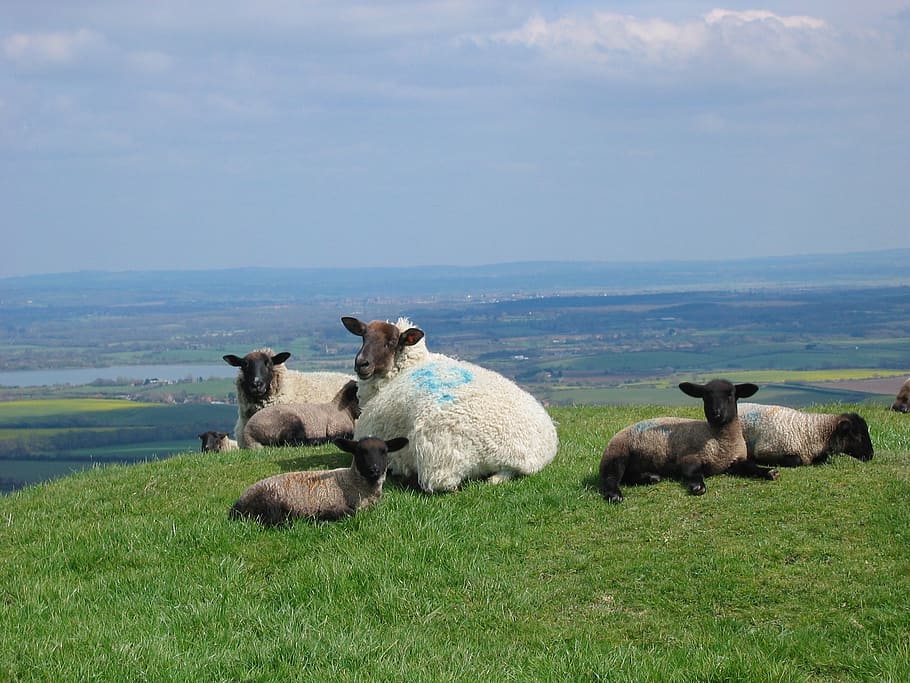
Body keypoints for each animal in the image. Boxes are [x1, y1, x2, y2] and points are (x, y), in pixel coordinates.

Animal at [228, 436, 410, 528]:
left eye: (384, 451)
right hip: (270, 505)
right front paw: (321, 519)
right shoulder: (333, 505)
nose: (374, 469)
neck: (352, 483)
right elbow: (349, 513)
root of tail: (236, 507)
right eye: (360, 452)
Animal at [340, 318, 560, 494]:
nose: (361, 363)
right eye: (363, 336)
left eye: (391, 342)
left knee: (443, 485)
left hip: (439, 460)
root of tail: (519, 459)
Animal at [604, 380, 780, 502]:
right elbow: (692, 472)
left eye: (731, 394)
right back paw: (615, 495)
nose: (717, 413)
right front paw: (698, 486)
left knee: (627, 477)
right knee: (610, 477)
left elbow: (751, 467)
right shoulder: (688, 457)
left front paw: (769, 472)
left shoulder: (735, 461)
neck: (718, 439)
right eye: (706, 396)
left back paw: (650, 478)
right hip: (617, 454)